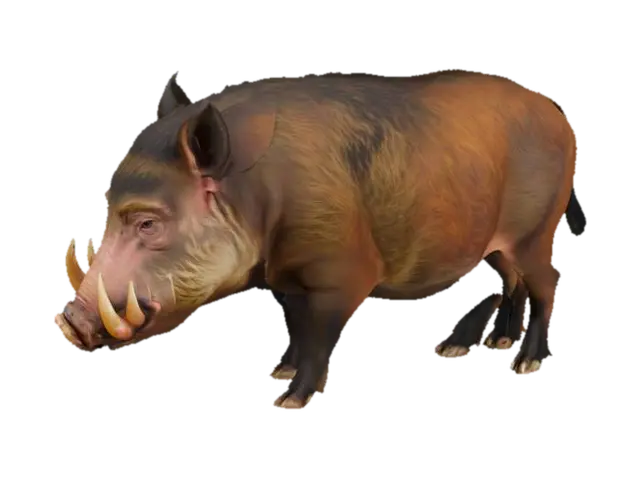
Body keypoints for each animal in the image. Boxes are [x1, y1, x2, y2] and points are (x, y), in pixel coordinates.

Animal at [54, 69, 581, 411]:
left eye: (148, 224)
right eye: (108, 208)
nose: (70, 323)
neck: (255, 196)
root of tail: (560, 118)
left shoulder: (342, 274)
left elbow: (321, 333)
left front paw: (288, 401)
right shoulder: (287, 276)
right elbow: (296, 323)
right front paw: (278, 374)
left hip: (536, 230)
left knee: (546, 282)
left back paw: (523, 363)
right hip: (499, 240)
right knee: (510, 282)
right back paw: (478, 347)